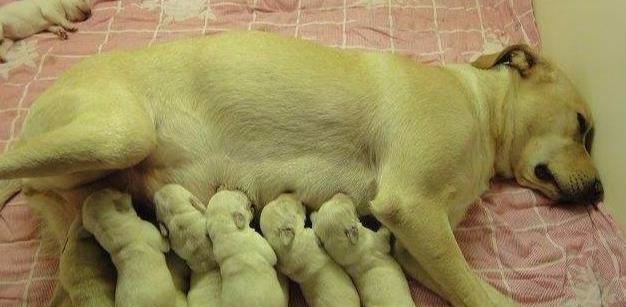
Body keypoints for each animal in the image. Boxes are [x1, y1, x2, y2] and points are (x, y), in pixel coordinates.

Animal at [0, 30, 600, 306]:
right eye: (583, 125)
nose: (598, 190)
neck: (481, 108)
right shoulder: (412, 206)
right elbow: (475, 289)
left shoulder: (419, 238)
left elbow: (461, 283)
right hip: (118, 133)